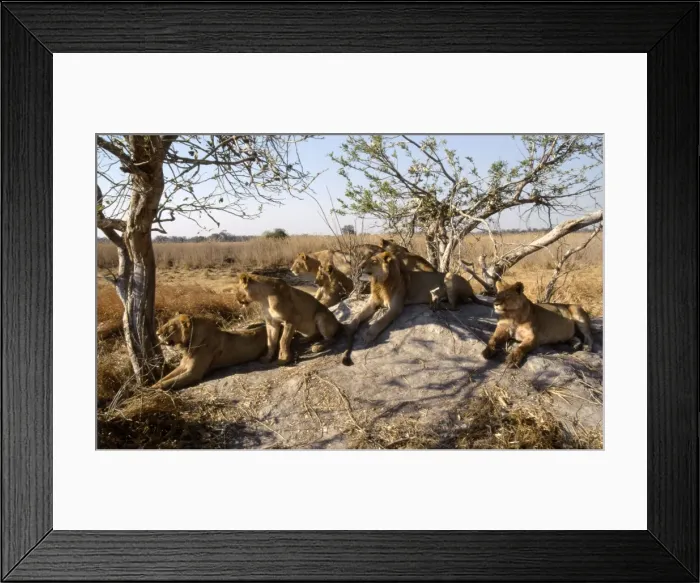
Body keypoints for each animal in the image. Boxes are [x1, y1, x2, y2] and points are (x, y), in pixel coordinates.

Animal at [341, 252, 487, 365]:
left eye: (374, 261)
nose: (360, 267)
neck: (380, 283)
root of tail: (471, 290)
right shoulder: (373, 302)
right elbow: (358, 315)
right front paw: (350, 327)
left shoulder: (395, 308)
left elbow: (380, 322)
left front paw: (369, 334)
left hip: (450, 276)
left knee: (455, 306)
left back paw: (436, 304)